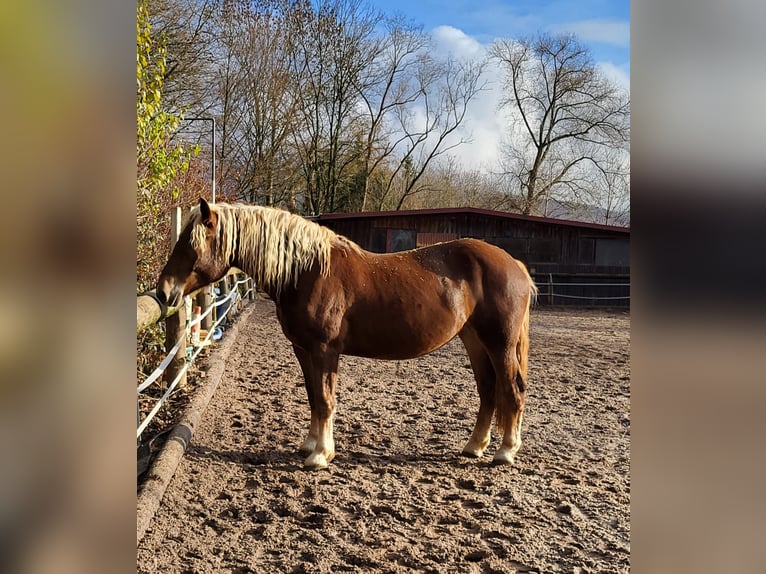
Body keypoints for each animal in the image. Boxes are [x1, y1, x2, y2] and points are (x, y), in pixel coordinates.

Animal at [157, 198, 537, 470]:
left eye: (191, 246)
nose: (164, 292)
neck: (307, 271)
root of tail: (515, 265)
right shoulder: (303, 350)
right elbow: (313, 397)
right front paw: (310, 445)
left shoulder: (324, 350)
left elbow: (326, 400)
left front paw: (321, 456)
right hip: (474, 340)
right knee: (488, 391)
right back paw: (474, 447)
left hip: (500, 343)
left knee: (511, 389)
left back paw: (505, 452)